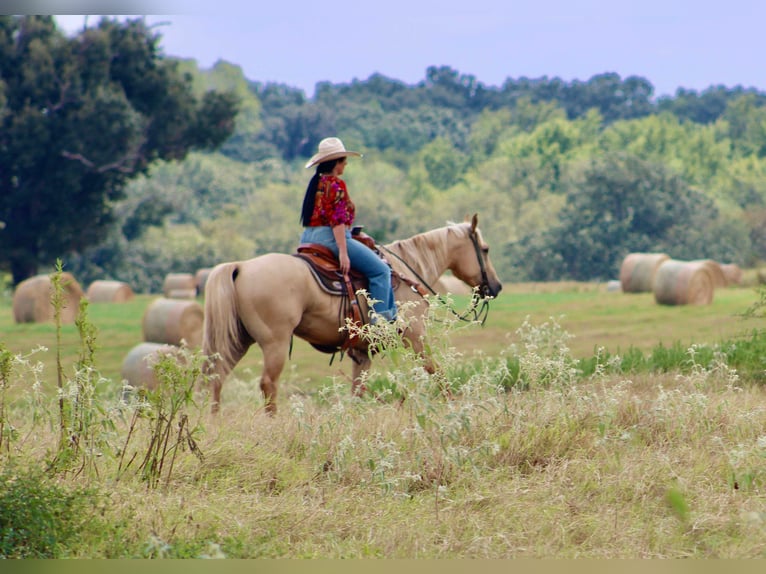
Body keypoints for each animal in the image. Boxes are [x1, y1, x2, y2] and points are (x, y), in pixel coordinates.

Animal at [202, 213, 503, 414]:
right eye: (485, 249)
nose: (496, 286)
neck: (405, 270)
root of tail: (240, 266)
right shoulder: (416, 338)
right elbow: (437, 373)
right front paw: (457, 410)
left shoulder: (362, 352)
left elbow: (357, 392)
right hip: (274, 343)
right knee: (268, 384)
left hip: (238, 339)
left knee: (217, 377)